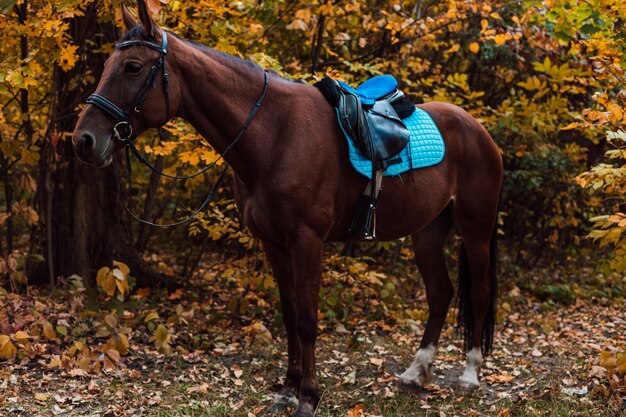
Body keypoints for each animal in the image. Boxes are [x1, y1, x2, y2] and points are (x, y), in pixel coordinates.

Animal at [73, 4, 502, 416]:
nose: (84, 141)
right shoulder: (274, 243)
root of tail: (479, 131)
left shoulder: (306, 241)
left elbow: (307, 320)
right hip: (427, 232)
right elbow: (289, 315)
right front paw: (287, 390)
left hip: (475, 229)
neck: (274, 135)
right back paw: (416, 372)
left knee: (478, 293)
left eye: (133, 67)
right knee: (440, 294)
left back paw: (469, 375)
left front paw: (308, 397)